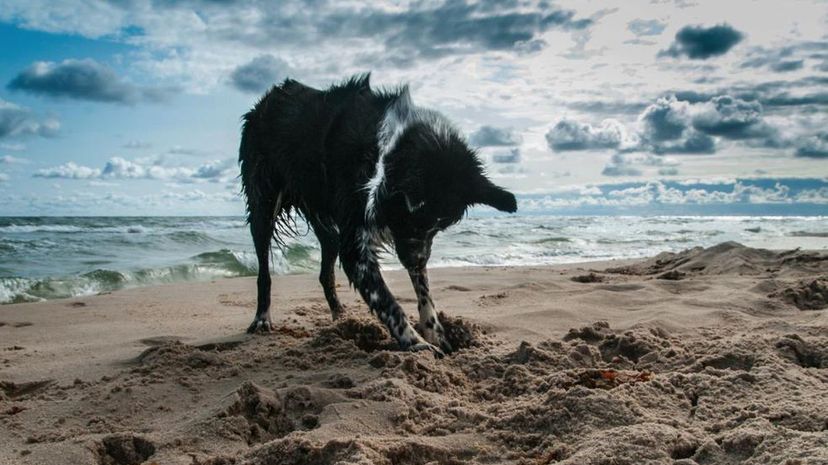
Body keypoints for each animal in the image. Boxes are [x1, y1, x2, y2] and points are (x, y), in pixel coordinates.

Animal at [236, 73, 516, 356]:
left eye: (440, 227)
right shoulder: (358, 245)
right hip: (263, 203)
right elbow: (387, 302)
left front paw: (434, 330)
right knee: (264, 270)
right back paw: (262, 318)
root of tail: (268, 98)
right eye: (410, 220)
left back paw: (340, 315)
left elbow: (423, 288)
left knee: (328, 255)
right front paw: (416, 343)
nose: (417, 261)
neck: (386, 151)